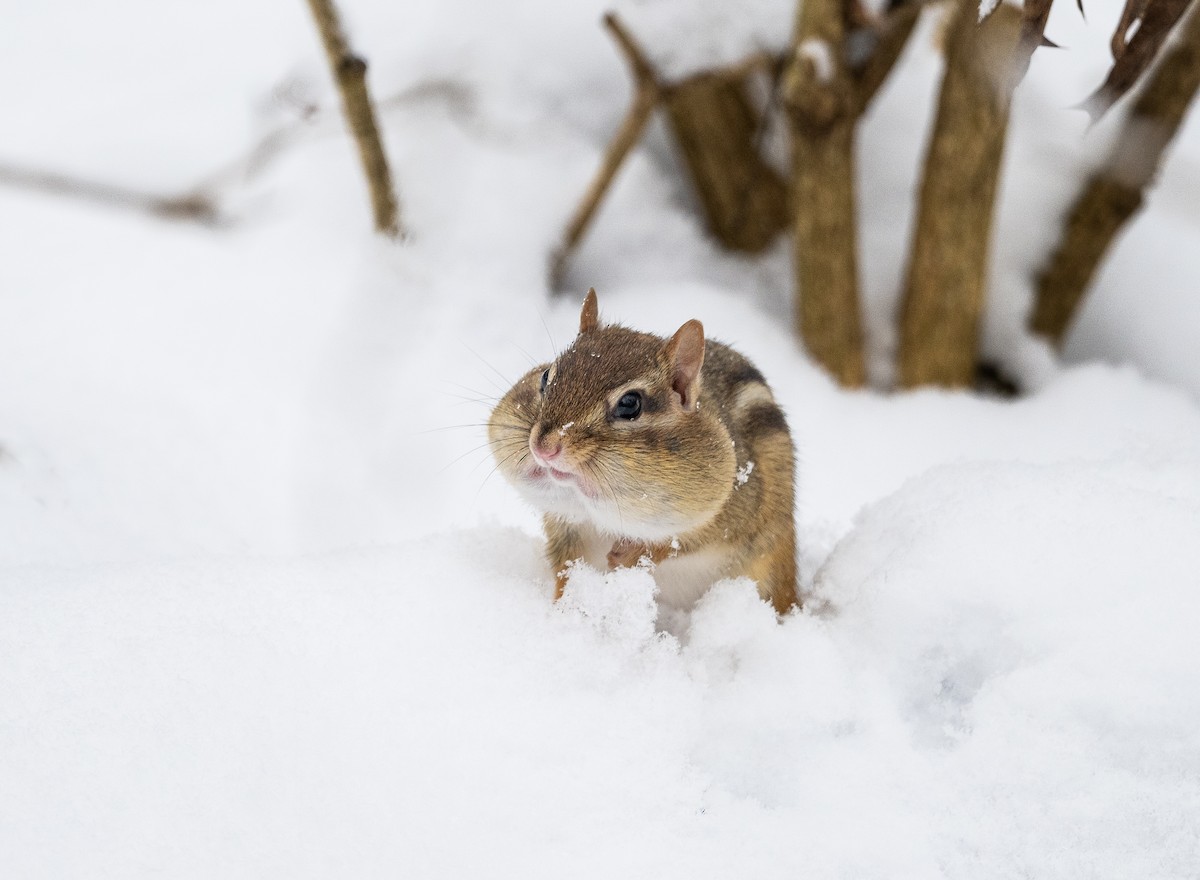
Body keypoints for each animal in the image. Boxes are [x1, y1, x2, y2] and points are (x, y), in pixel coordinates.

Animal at [487, 289, 797, 614]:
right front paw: (563, 609)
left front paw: (627, 556)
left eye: (630, 403)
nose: (544, 448)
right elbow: (566, 570)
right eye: (546, 376)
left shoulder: (734, 508)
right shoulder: (566, 525)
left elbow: (680, 541)